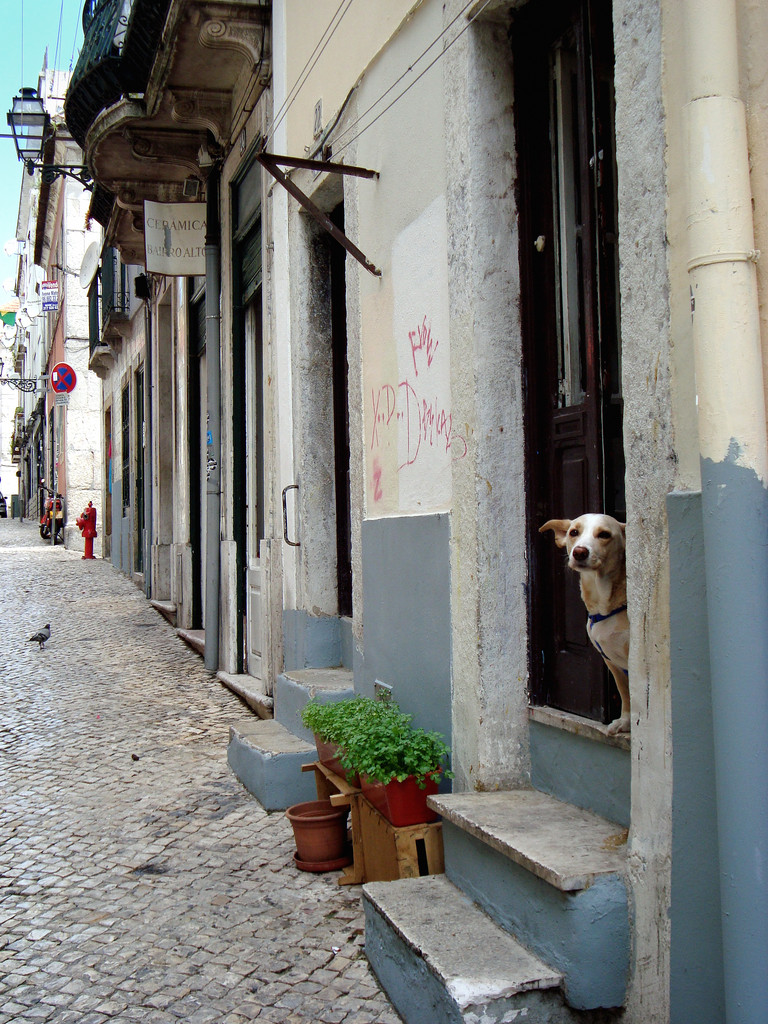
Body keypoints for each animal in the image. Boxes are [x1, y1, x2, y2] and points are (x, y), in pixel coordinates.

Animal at [540, 516, 630, 733]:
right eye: (574, 532)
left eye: (604, 534)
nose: (579, 551)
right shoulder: (612, 662)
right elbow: (625, 692)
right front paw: (625, 721)